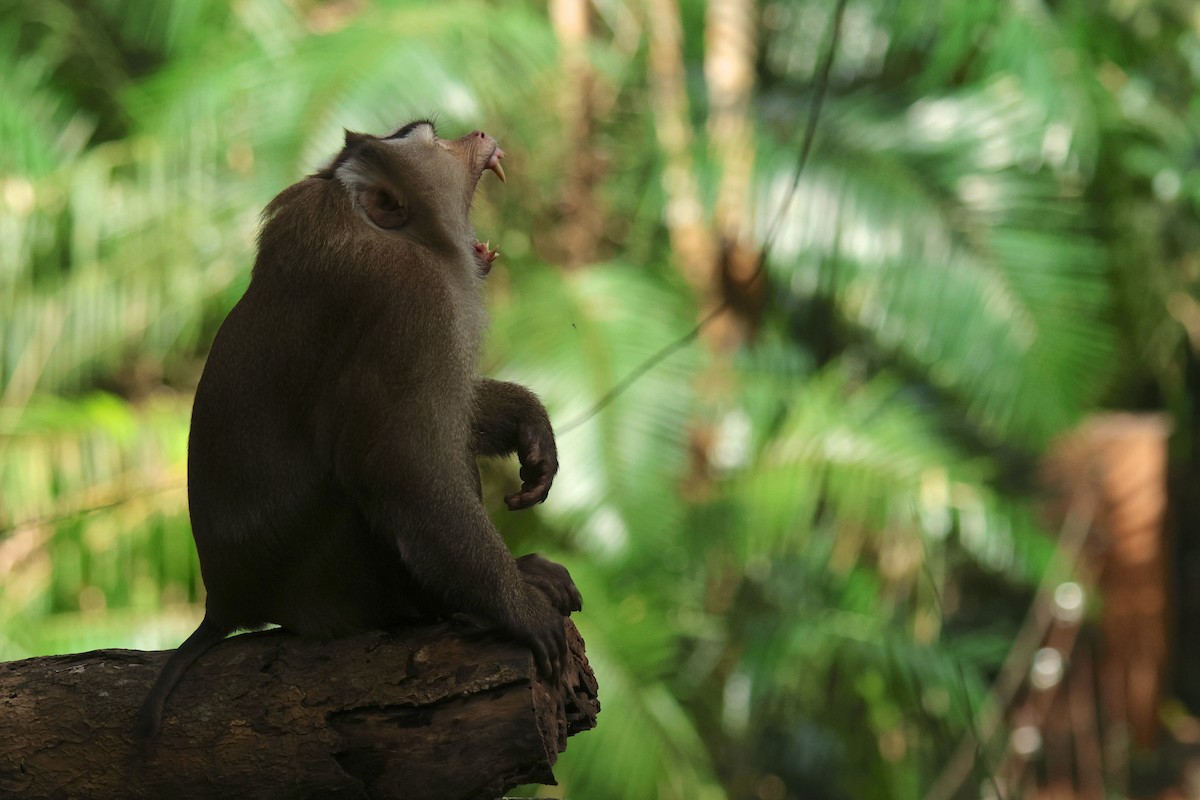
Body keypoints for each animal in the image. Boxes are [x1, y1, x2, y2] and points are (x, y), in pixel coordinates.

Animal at [134, 120, 581, 739]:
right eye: (434, 141)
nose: (478, 133)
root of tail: (224, 603)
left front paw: (526, 420)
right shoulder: (415, 304)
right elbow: (402, 465)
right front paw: (519, 610)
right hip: (335, 586)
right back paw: (453, 604)